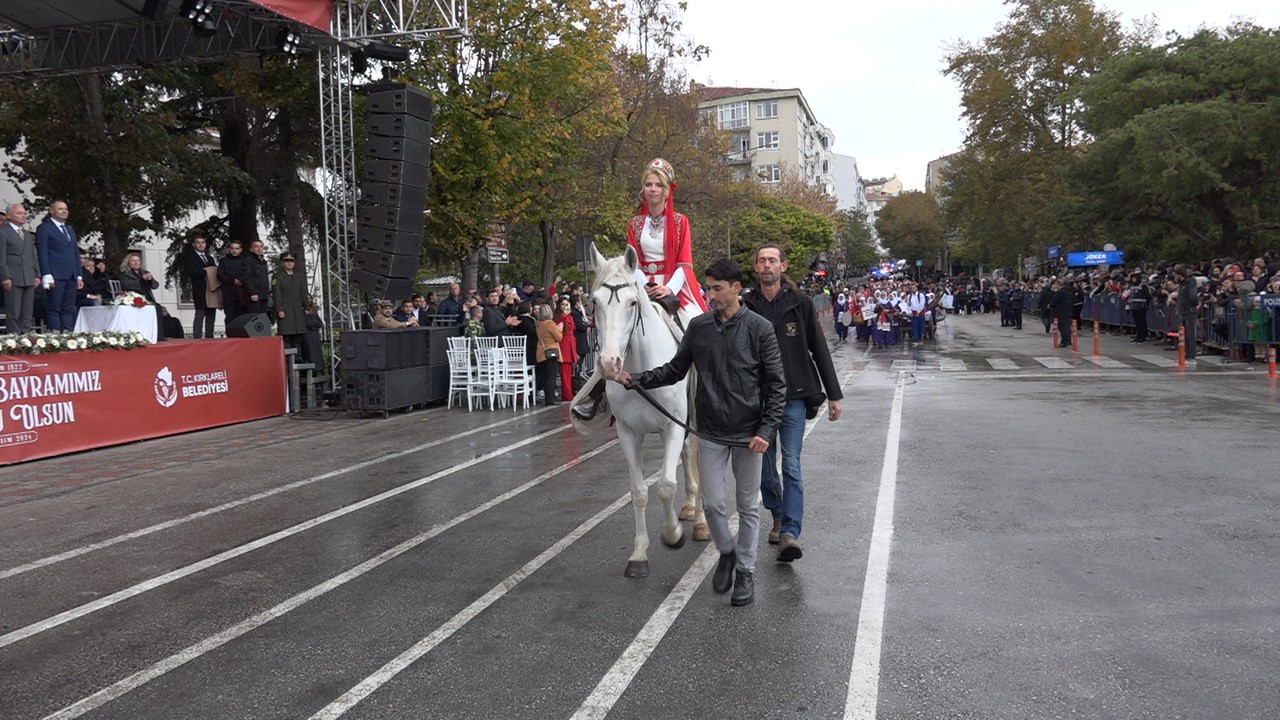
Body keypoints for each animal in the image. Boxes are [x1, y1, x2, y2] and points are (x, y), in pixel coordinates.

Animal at [581, 243, 711, 573]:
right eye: (594, 302)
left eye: (631, 302)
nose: (609, 363)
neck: (642, 371)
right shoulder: (628, 433)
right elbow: (639, 492)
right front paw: (639, 554)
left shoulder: (673, 426)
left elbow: (665, 484)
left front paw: (672, 535)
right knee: (688, 457)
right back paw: (689, 508)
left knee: (698, 458)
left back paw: (701, 521)